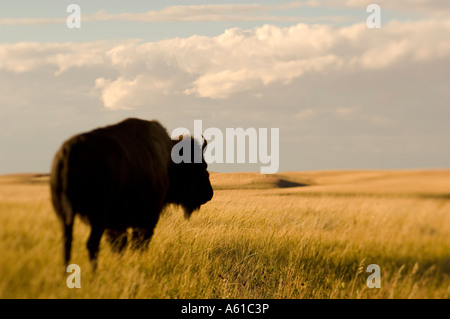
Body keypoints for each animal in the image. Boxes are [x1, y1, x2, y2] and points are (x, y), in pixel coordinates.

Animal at [50, 119, 214, 272]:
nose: (209, 194)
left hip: (65, 217)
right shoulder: (146, 219)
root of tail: (70, 149)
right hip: (98, 218)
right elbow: (137, 243)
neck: (168, 160)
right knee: (92, 244)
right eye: (199, 166)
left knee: (67, 243)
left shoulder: (119, 224)